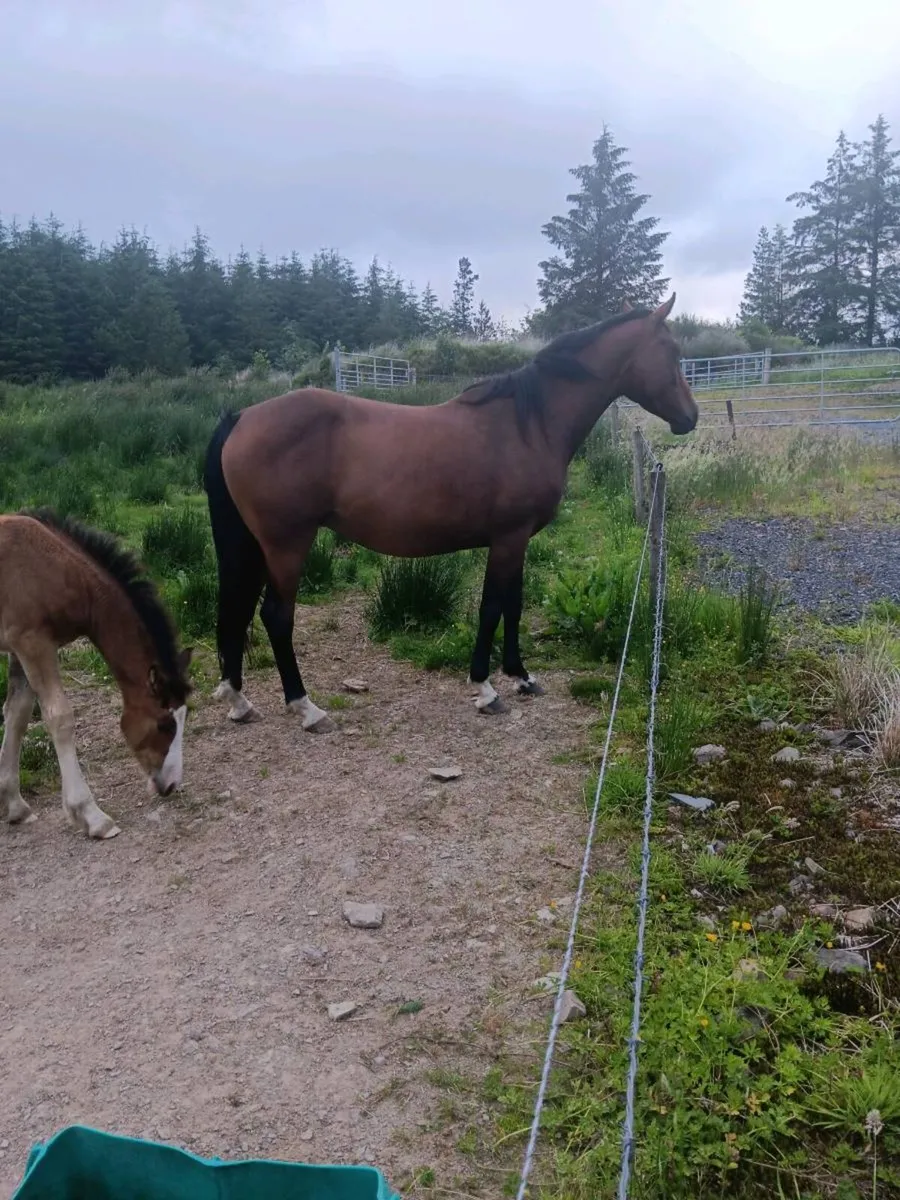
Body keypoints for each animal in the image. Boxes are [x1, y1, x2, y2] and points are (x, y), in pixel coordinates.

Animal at [0, 509, 193, 839]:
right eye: (165, 724)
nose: (170, 785)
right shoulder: (33, 643)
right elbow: (59, 718)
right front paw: (91, 816)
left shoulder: (18, 649)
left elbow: (18, 715)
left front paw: (15, 805)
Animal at [203, 294, 698, 730]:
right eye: (672, 351)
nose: (690, 417)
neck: (530, 425)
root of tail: (242, 417)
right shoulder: (508, 537)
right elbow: (492, 606)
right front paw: (485, 689)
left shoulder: (517, 540)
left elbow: (514, 604)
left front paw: (521, 676)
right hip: (287, 544)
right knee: (275, 616)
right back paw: (306, 708)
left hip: (253, 545)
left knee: (238, 611)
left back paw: (239, 701)